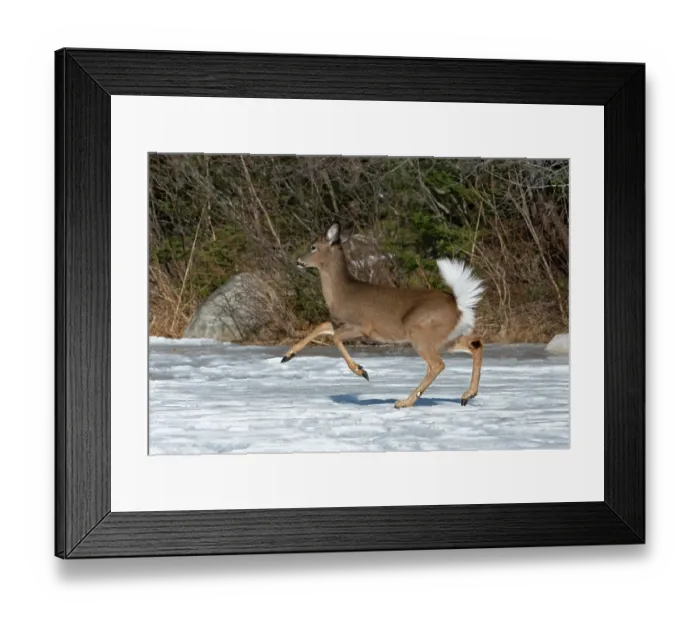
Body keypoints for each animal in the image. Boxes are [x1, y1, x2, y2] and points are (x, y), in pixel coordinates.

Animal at [281, 223, 485, 409]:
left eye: (313, 246)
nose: (298, 260)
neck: (342, 293)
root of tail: (458, 304)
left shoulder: (363, 326)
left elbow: (336, 337)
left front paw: (361, 371)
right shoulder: (340, 322)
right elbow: (322, 326)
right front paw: (287, 355)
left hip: (420, 331)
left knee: (437, 364)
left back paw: (404, 402)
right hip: (446, 338)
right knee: (475, 344)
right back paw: (467, 395)